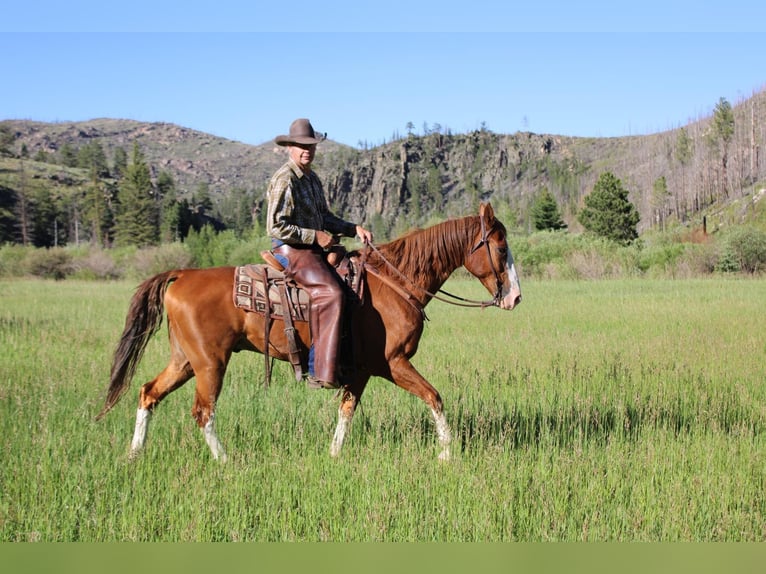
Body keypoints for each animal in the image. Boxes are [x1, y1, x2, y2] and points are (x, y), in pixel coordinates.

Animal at [97, 202, 520, 464]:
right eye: (501, 250)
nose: (515, 297)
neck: (396, 283)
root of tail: (182, 274)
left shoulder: (362, 371)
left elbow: (346, 411)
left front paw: (333, 455)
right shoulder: (392, 363)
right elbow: (435, 397)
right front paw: (447, 453)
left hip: (185, 361)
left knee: (148, 393)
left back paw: (134, 455)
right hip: (210, 364)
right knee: (203, 412)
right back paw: (225, 460)